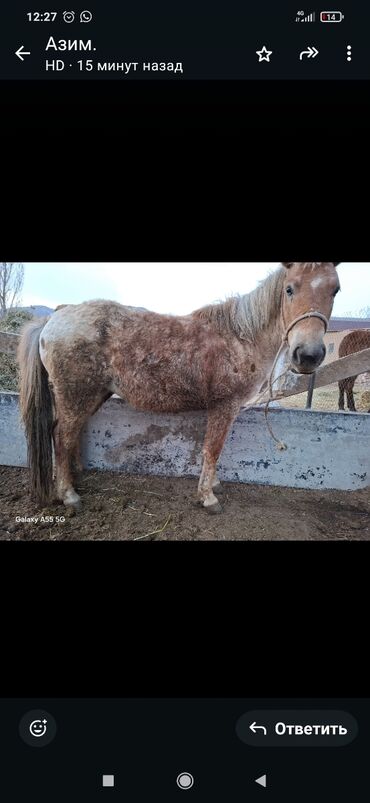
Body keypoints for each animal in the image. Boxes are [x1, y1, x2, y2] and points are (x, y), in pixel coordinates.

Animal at [18, 264, 342, 516]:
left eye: (335, 290)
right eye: (289, 289)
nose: (308, 355)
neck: (241, 337)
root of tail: (53, 319)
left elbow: (214, 450)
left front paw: (212, 485)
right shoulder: (224, 406)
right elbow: (212, 449)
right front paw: (208, 497)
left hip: (92, 396)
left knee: (70, 435)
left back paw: (76, 476)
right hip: (75, 395)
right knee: (61, 436)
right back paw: (69, 494)